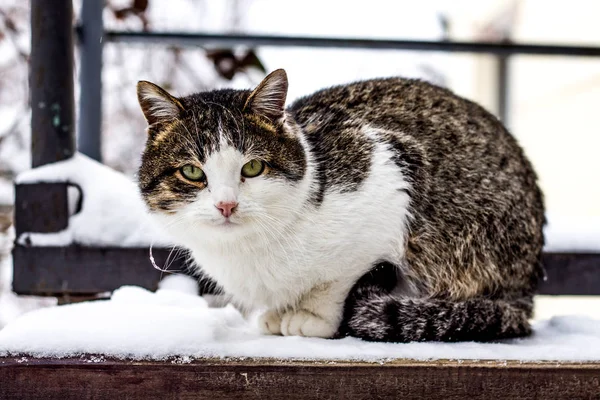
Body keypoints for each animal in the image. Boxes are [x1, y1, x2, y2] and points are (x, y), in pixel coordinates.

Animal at [136, 69, 544, 340]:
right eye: (192, 171)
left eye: (252, 167)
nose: (226, 205)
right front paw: (280, 313)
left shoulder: (388, 174)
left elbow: (335, 283)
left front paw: (311, 318)